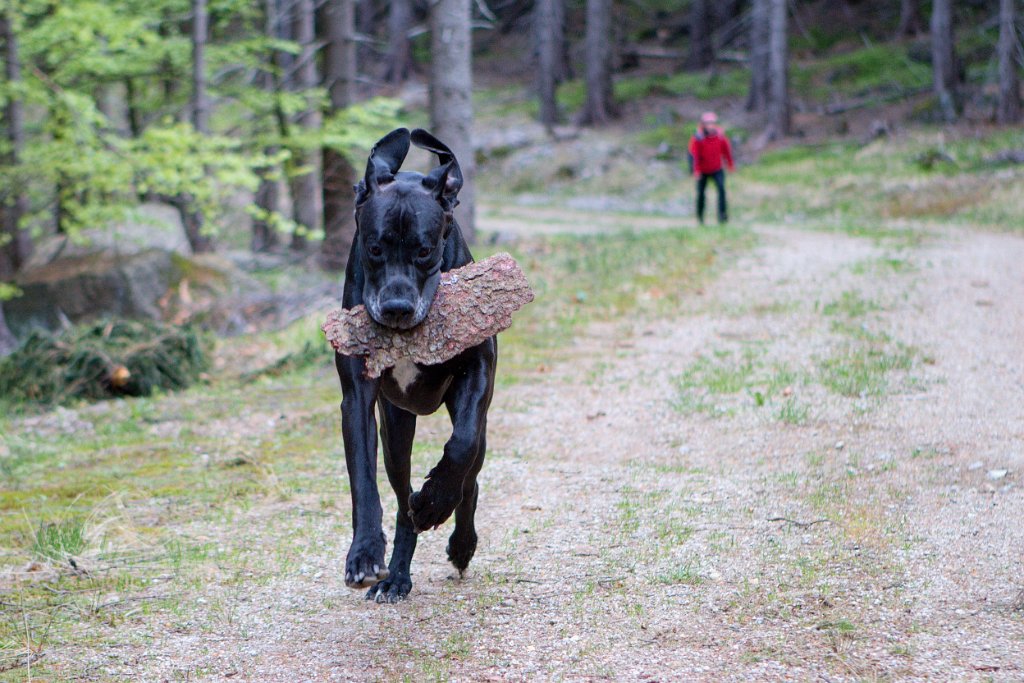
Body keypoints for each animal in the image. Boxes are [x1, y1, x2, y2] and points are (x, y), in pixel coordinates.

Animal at [335, 127, 495, 602]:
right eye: (373, 247)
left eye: (426, 250)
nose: (396, 308)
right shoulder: (357, 398)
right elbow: (363, 480)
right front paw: (364, 554)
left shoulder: (478, 373)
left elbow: (461, 446)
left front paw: (436, 501)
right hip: (396, 427)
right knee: (402, 495)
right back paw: (396, 576)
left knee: (470, 476)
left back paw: (459, 540)